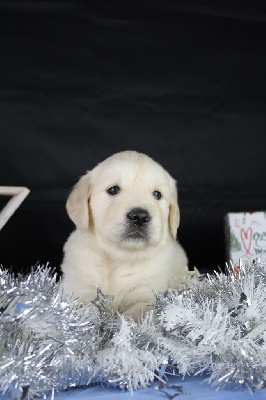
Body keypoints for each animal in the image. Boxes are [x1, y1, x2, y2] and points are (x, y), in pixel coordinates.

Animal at [61, 150, 191, 318]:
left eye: (157, 194)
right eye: (113, 190)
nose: (140, 217)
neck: (120, 258)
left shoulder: (147, 295)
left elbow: (133, 316)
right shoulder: (78, 288)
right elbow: (85, 311)